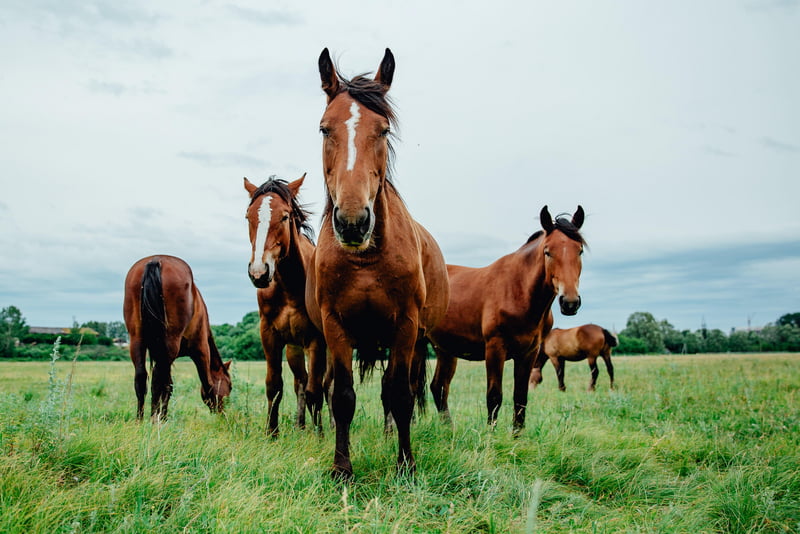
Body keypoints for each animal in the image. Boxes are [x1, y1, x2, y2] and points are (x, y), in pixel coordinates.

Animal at [122, 255, 231, 422]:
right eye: (230, 386)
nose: (222, 414)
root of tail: (156, 260)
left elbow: (168, 385)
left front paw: (164, 416)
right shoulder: (201, 349)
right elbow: (207, 384)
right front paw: (162, 418)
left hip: (137, 340)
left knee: (141, 377)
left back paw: (139, 421)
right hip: (170, 344)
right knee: (156, 380)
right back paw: (153, 419)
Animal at [242, 174, 326, 438]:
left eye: (285, 216)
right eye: (248, 217)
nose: (259, 273)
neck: (290, 287)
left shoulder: (316, 341)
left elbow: (315, 391)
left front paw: (319, 437)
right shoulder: (269, 335)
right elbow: (275, 385)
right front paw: (272, 433)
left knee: (326, 385)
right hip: (294, 349)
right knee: (300, 381)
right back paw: (300, 426)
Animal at [306, 47, 450, 482]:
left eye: (383, 130)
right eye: (325, 129)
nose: (353, 221)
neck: (366, 259)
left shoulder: (405, 326)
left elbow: (400, 394)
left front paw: (406, 464)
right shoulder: (335, 326)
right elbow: (342, 397)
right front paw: (342, 468)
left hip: (416, 342)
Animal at [428, 207, 584, 434]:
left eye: (579, 250)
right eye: (547, 251)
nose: (570, 302)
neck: (518, 290)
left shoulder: (529, 352)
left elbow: (520, 397)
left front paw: (517, 436)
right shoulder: (495, 348)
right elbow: (494, 396)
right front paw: (490, 436)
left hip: (445, 350)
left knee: (439, 386)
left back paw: (449, 429)